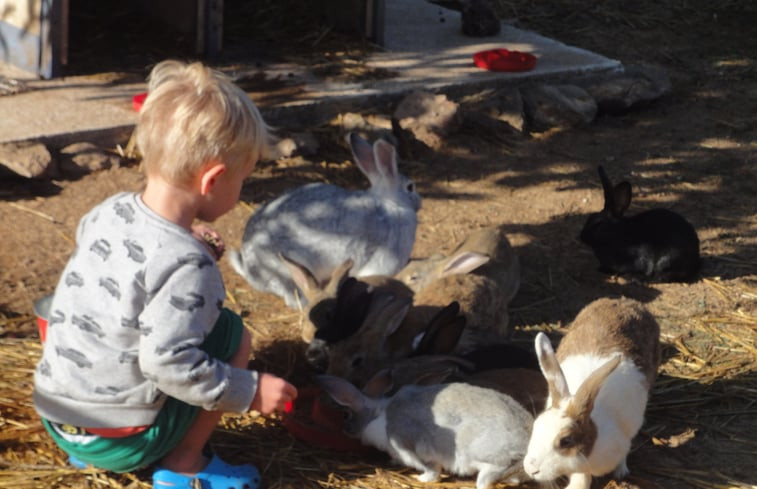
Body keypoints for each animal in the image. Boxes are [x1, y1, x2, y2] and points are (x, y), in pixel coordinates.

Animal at [316, 374, 528, 488]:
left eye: (346, 414)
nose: (344, 429)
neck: (379, 414)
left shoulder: (413, 449)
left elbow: (432, 470)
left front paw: (422, 478)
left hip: (482, 455)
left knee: (491, 473)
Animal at [524, 296, 660, 486]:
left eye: (566, 441)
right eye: (536, 426)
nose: (531, 469)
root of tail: (627, 301)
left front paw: (621, 471)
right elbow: (581, 479)